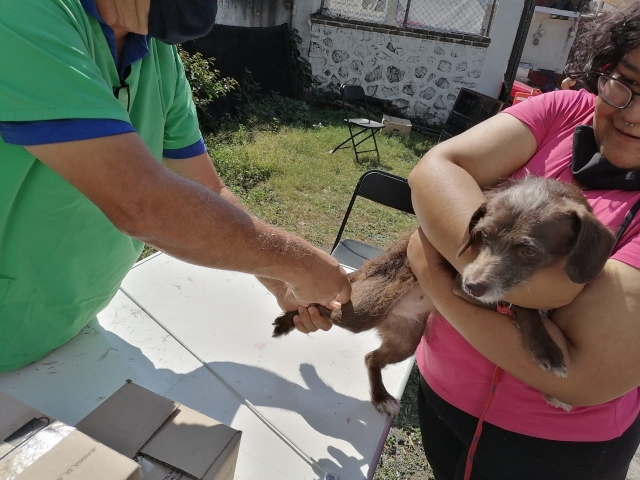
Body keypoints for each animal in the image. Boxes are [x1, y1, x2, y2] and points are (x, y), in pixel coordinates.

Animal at [270, 176, 616, 416]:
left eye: (529, 250)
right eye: (482, 235)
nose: (472, 285)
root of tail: (367, 267)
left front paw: (552, 388)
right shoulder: (463, 285)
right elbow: (523, 307)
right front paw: (546, 348)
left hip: (406, 339)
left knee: (371, 358)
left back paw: (381, 397)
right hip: (366, 309)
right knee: (327, 309)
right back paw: (293, 319)